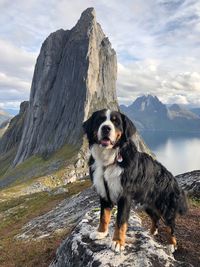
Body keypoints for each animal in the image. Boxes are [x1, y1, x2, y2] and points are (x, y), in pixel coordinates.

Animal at [82, 110, 188, 254]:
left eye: (116, 122)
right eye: (100, 120)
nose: (106, 128)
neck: (109, 160)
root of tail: (173, 179)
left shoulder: (125, 196)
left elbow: (120, 221)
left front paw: (117, 242)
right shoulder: (104, 193)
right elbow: (103, 216)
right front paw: (101, 233)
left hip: (165, 208)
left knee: (171, 226)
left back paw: (172, 244)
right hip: (147, 204)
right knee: (155, 217)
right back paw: (151, 232)